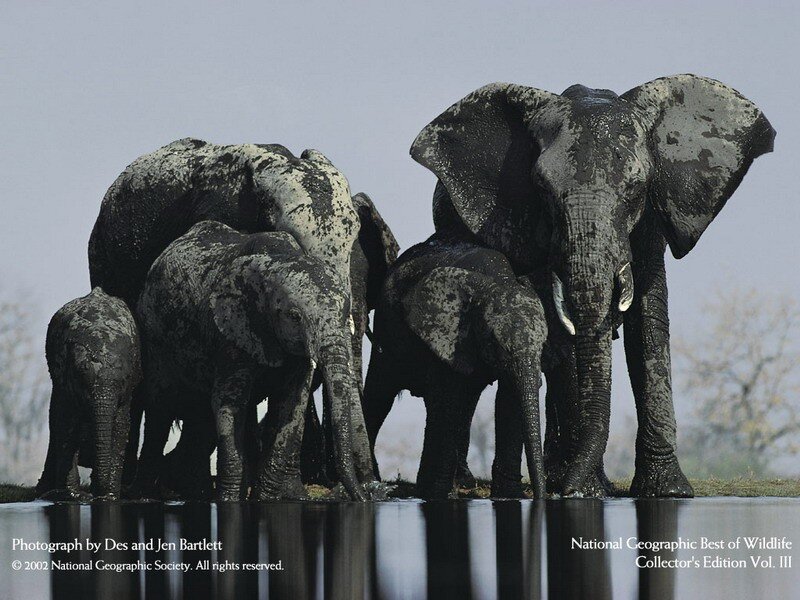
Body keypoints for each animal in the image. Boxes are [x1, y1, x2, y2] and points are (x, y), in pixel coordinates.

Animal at [36, 287, 141, 500]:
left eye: (123, 381)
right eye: (81, 381)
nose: (92, 495)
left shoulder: (128, 389)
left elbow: (121, 426)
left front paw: (109, 497)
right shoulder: (65, 380)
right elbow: (66, 423)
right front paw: (72, 495)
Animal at [135, 220, 375, 501]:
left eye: (345, 313)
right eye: (295, 316)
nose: (365, 498)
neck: (278, 262)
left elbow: (291, 403)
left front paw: (265, 499)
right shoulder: (231, 329)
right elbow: (229, 402)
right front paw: (229, 501)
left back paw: (197, 491)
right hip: (153, 334)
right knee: (160, 409)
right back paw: (145, 494)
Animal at [362, 231, 548, 499]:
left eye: (544, 343)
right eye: (493, 341)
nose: (540, 495)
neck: (496, 281)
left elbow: (509, 398)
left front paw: (510, 495)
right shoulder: (445, 333)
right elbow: (447, 399)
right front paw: (437, 494)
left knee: (467, 403)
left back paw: (463, 480)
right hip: (387, 328)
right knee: (380, 393)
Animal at [410, 74, 775, 497]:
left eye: (637, 189)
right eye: (543, 190)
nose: (565, 490)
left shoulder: (650, 220)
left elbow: (648, 323)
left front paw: (667, 491)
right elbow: (564, 334)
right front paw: (586, 491)